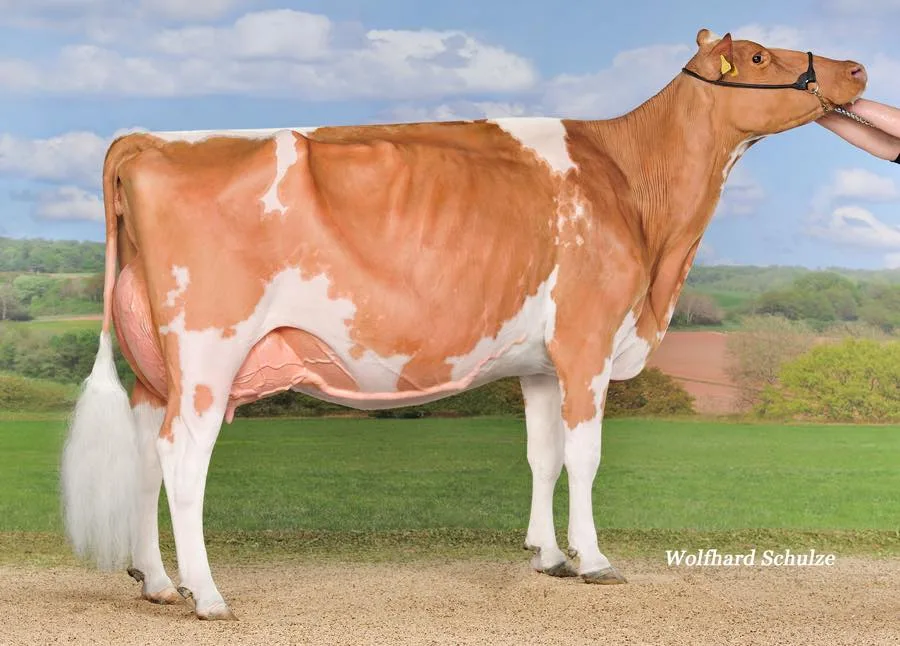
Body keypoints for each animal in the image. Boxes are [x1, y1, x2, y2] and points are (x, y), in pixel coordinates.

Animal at [60, 28, 867, 620]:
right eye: (759, 56)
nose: (858, 68)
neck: (638, 193)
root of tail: (149, 140)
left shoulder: (540, 363)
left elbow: (544, 456)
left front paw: (549, 557)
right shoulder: (586, 342)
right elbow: (585, 457)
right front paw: (596, 560)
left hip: (156, 365)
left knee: (145, 449)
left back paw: (157, 582)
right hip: (209, 349)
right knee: (181, 457)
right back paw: (207, 595)